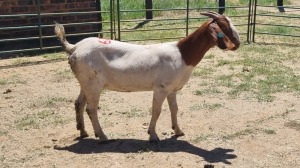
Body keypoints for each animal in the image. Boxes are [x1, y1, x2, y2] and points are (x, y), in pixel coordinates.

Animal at [55, 11, 240, 142]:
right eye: (224, 26)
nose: (237, 44)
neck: (183, 54)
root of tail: (73, 48)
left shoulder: (172, 89)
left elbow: (174, 109)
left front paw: (178, 130)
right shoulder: (161, 88)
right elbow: (156, 110)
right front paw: (153, 135)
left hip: (85, 82)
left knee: (78, 103)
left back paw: (83, 131)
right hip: (93, 84)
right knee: (91, 109)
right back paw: (102, 136)